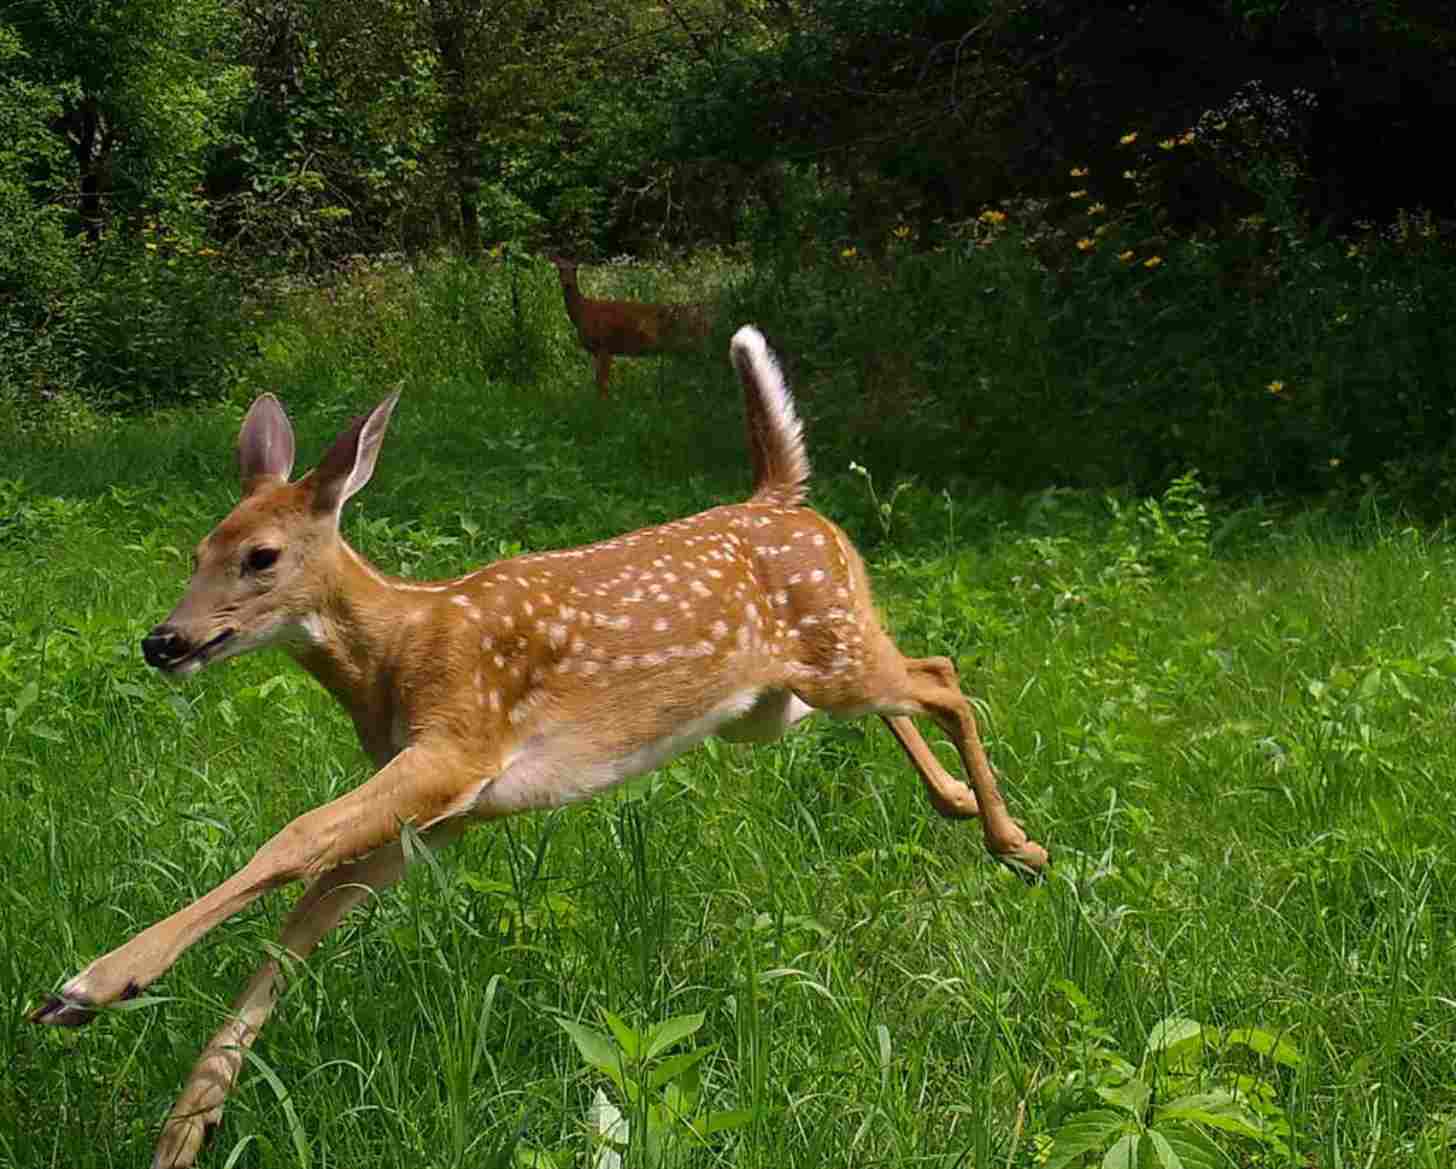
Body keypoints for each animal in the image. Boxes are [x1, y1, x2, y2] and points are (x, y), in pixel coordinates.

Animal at [29, 325, 1047, 1168]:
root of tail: (784, 497)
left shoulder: (456, 744)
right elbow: (303, 922)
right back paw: (961, 807)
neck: (397, 651)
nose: (164, 641)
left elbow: (293, 839)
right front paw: (185, 1126)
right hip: (772, 701)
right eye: (199, 548)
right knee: (911, 680)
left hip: (829, 653)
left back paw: (1018, 844)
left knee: (943, 674)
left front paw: (90, 985)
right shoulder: (440, 813)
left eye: (261, 556)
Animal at [552, 257, 710, 397]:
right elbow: (600, 383)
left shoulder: (604, 346)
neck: (583, 312)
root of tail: (702, 316)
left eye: (575, 268)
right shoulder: (601, 351)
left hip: (689, 342)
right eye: (560, 269)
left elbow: (602, 384)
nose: (567, 284)